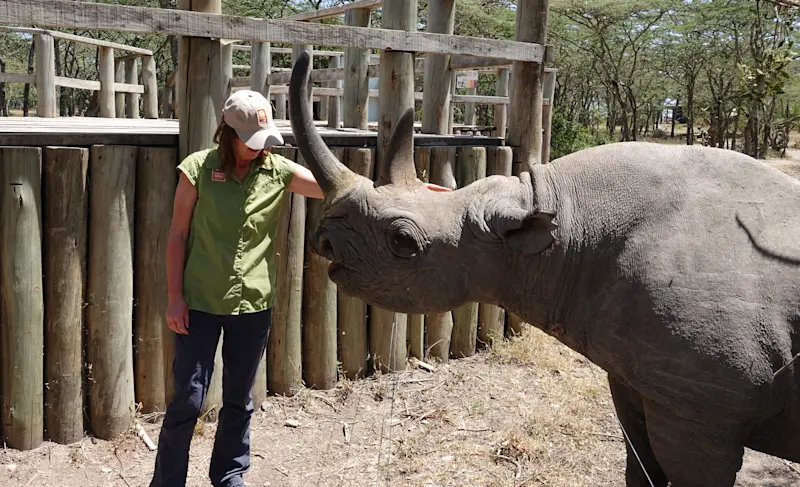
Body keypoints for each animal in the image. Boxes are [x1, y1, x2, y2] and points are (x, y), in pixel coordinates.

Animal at [287, 50, 800, 487]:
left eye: (402, 242)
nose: (324, 240)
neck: (560, 225)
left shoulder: (700, 411)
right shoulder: (642, 382)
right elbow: (640, 465)